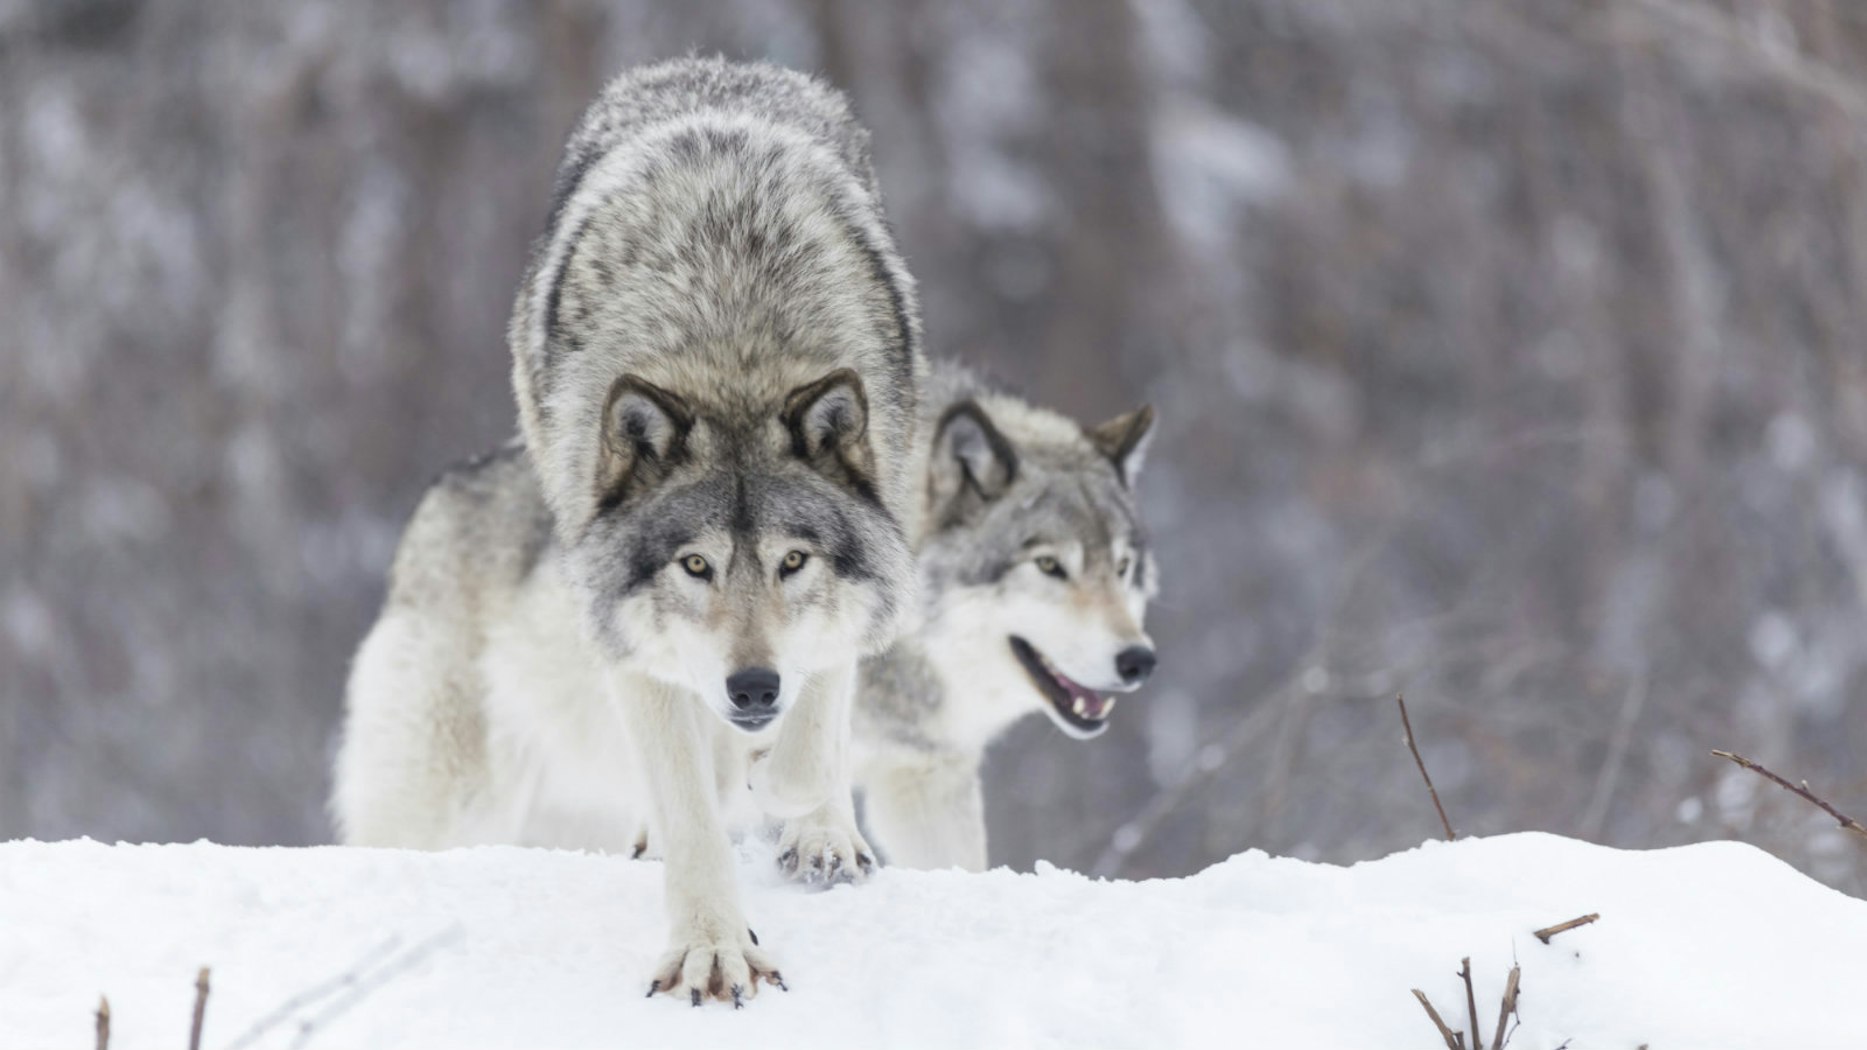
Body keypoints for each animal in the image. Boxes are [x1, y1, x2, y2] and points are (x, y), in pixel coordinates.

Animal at [334, 57, 926, 1008]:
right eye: (694, 565)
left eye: (793, 561)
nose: (752, 686)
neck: (731, 349)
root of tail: (710, 65)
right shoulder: (630, 638)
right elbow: (692, 808)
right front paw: (712, 952)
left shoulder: (872, 553)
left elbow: (811, 731)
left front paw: (803, 814)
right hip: (444, 788)